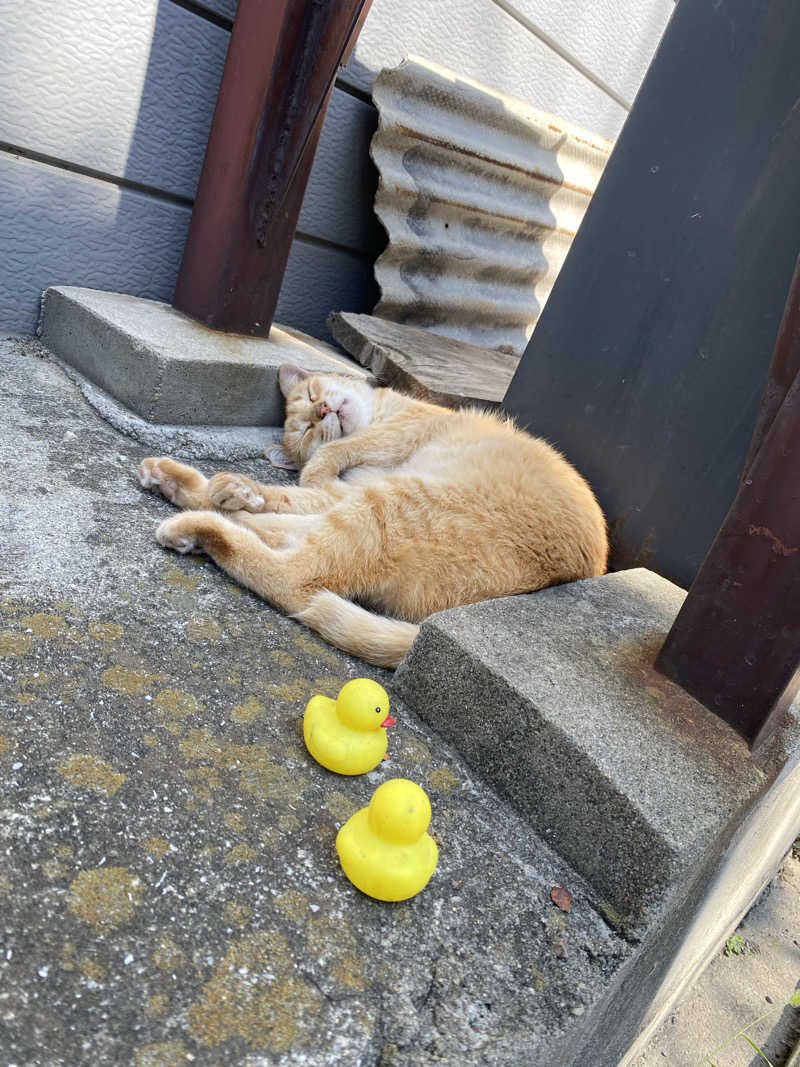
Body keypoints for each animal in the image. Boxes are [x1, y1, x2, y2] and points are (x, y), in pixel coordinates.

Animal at [140, 367, 610, 665]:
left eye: (312, 398)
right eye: (306, 425)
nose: (323, 411)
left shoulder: (392, 436)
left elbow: (321, 467)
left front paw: (257, 486)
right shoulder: (350, 485)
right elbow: (296, 492)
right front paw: (243, 490)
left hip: (393, 505)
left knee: (291, 574)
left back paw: (199, 516)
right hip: (387, 505)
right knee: (286, 544)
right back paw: (191, 491)